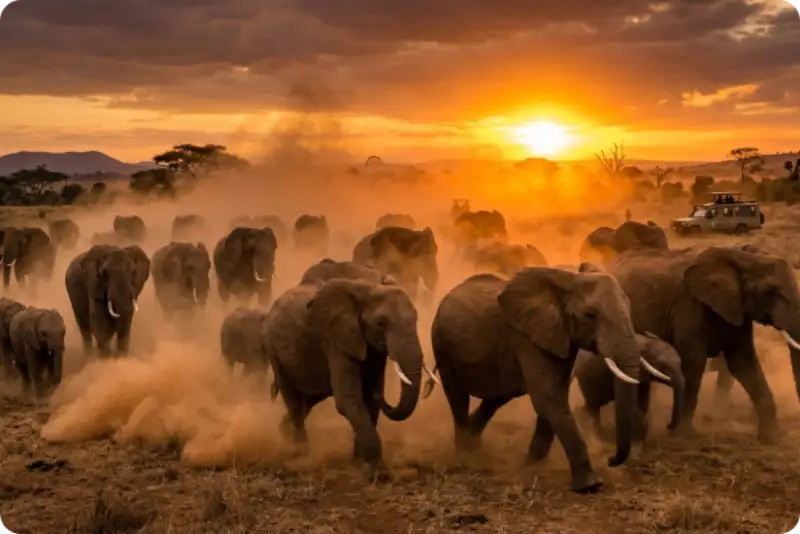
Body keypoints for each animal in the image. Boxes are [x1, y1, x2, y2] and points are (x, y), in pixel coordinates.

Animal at [263, 278, 436, 475]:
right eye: (381, 323)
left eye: (416, 319)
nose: (382, 395)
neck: (367, 290)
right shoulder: (337, 340)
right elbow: (349, 400)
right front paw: (379, 471)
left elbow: (368, 401)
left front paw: (360, 463)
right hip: (274, 350)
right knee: (293, 400)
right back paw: (302, 458)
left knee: (308, 399)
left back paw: (285, 432)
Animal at [428, 268, 642, 493]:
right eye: (590, 315)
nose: (610, 460)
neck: (568, 280)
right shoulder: (526, 339)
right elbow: (549, 398)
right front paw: (590, 485)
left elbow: (554, 397)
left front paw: (531, 466)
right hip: (442, 345)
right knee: (457, 397)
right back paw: (465, 457)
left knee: (496, 398)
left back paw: (474, 444)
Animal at [609, 245, 800, 441]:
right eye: (770, 291)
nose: (670, 426)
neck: (739, 257)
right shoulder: (689, 307)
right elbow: (694, 363)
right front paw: (684, 435)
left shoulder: (737, 312)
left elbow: (743, 363)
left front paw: (771, 437)